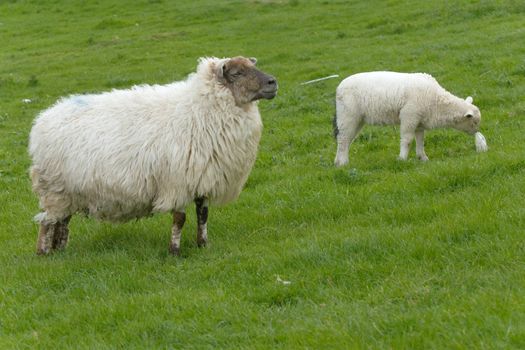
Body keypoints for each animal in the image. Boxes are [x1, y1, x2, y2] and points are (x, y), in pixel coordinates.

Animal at [27, 56, 278, 256]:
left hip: (69, 191)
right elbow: (180, 219)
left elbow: (203, 215)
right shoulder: (177, 182)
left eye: (253, 65)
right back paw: (44, 253)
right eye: (237, 73)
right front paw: (174, 251)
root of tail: (43, 119)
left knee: (62, 221)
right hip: (55, 188)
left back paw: (60, 250)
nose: (273, 82)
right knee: (47, 222)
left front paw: (203, 245)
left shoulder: (203, 177)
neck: (199, 109)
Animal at [334, 71, 486, 165]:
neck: (437, 102)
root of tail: (339, 87)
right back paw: (343, 163)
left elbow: (420, 140)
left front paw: (423, 158)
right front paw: (402, 159)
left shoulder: (419, 121)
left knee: (346, 139)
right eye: (474, 122)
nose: (476, 132)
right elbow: (407, 140)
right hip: (348, 115)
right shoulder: (409, 115)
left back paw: (338, 161)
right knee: (343, 139)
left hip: (357, 119)